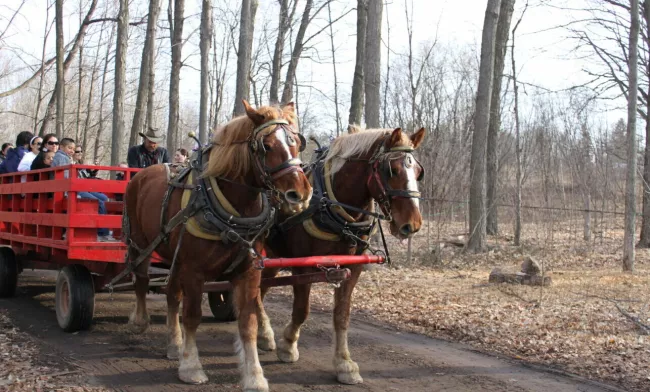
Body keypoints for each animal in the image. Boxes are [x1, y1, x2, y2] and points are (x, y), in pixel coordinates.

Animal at [125, 100, 312, 388]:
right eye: (266, 146)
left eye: (296, 142)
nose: (300, 194)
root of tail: (140, 176)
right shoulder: (194, 270)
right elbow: (192, 316)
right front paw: (191, 366)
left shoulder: (248, 270)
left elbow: (248, 321)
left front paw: (254, 375)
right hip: (140, 243)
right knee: (142, 280)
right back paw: (141, 321)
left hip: (174, 256)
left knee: (171, 294)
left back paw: (174, 344)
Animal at [253, 127, 426, 384]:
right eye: (391, 170)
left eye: (418, 172)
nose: (412, 224)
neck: (331, 206)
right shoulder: (302, 266)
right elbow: (302, 310)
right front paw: (288, 345)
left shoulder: (353, 267)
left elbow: (342, 315)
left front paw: (345, 364)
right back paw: (264, 332)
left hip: (271, 259)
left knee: (261, 289)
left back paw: (263, 333)